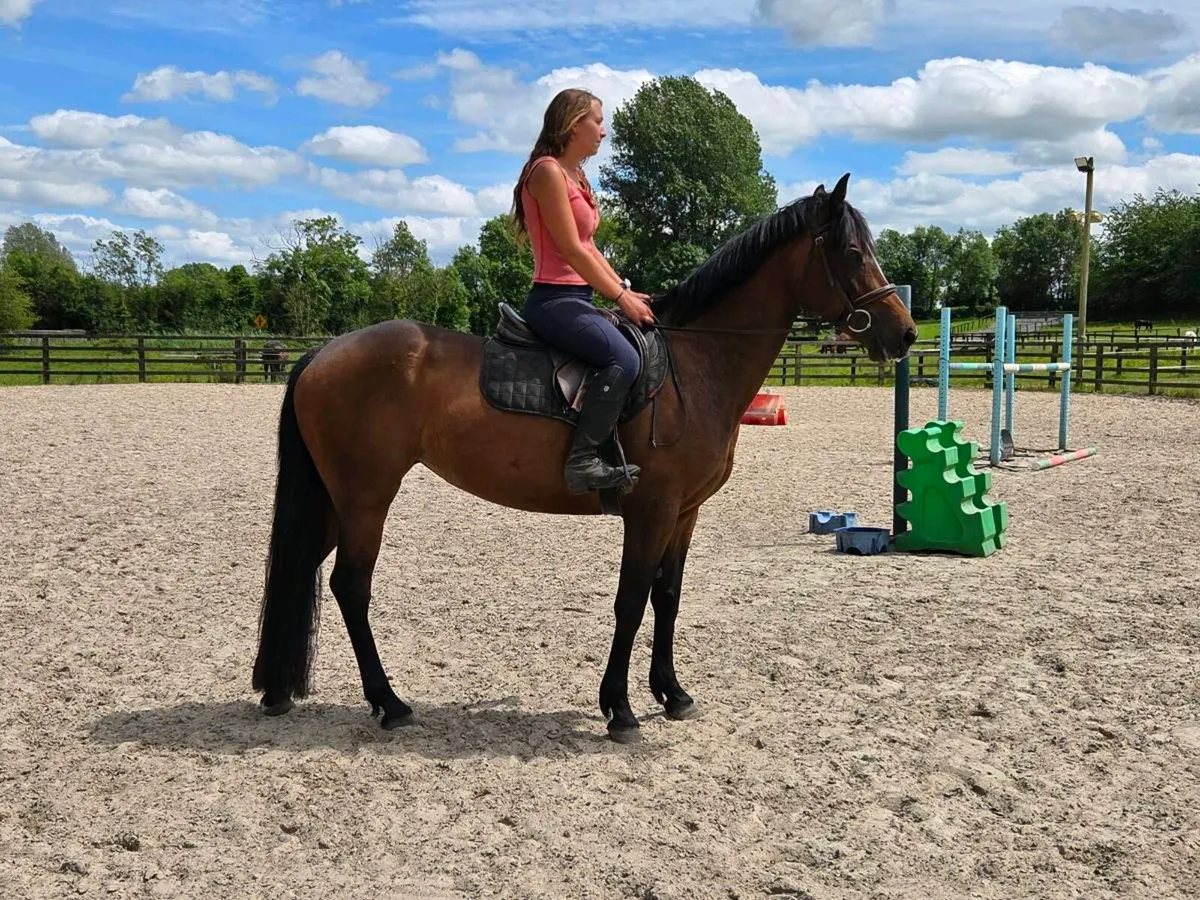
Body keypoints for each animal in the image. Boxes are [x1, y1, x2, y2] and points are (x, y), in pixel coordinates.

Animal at [250, 173, 918, 743]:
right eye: (852, 252)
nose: (906, 333)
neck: (696, 364)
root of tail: (324, 352)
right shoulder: (650, 512)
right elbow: (630, 601)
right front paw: (620, 710)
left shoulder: (684, 514)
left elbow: (666, 597)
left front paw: (672, 694)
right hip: (367, 496)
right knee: (350, 585)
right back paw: (389, 704)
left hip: (338, 499)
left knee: (308, 568)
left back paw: (281, 693)